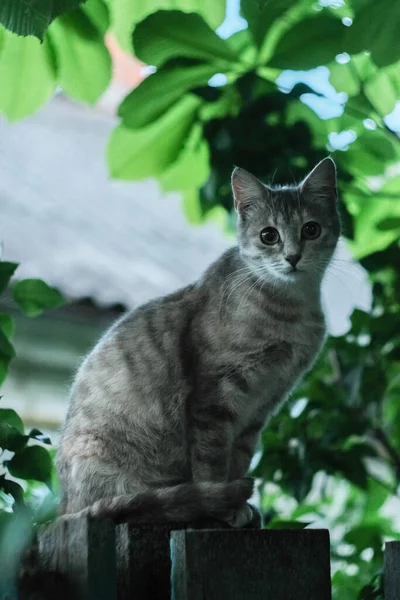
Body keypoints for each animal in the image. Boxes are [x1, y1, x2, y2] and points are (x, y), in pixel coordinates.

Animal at [54, 157, 340, 528]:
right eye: (269, 235)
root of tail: (65, 511)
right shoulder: (213, 397)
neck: (289, 311)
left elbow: (239, 460)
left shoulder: (262, 407)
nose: (292, 257)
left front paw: (239, 505)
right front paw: (223, 505)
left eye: (311, 229)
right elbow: (211, 464)